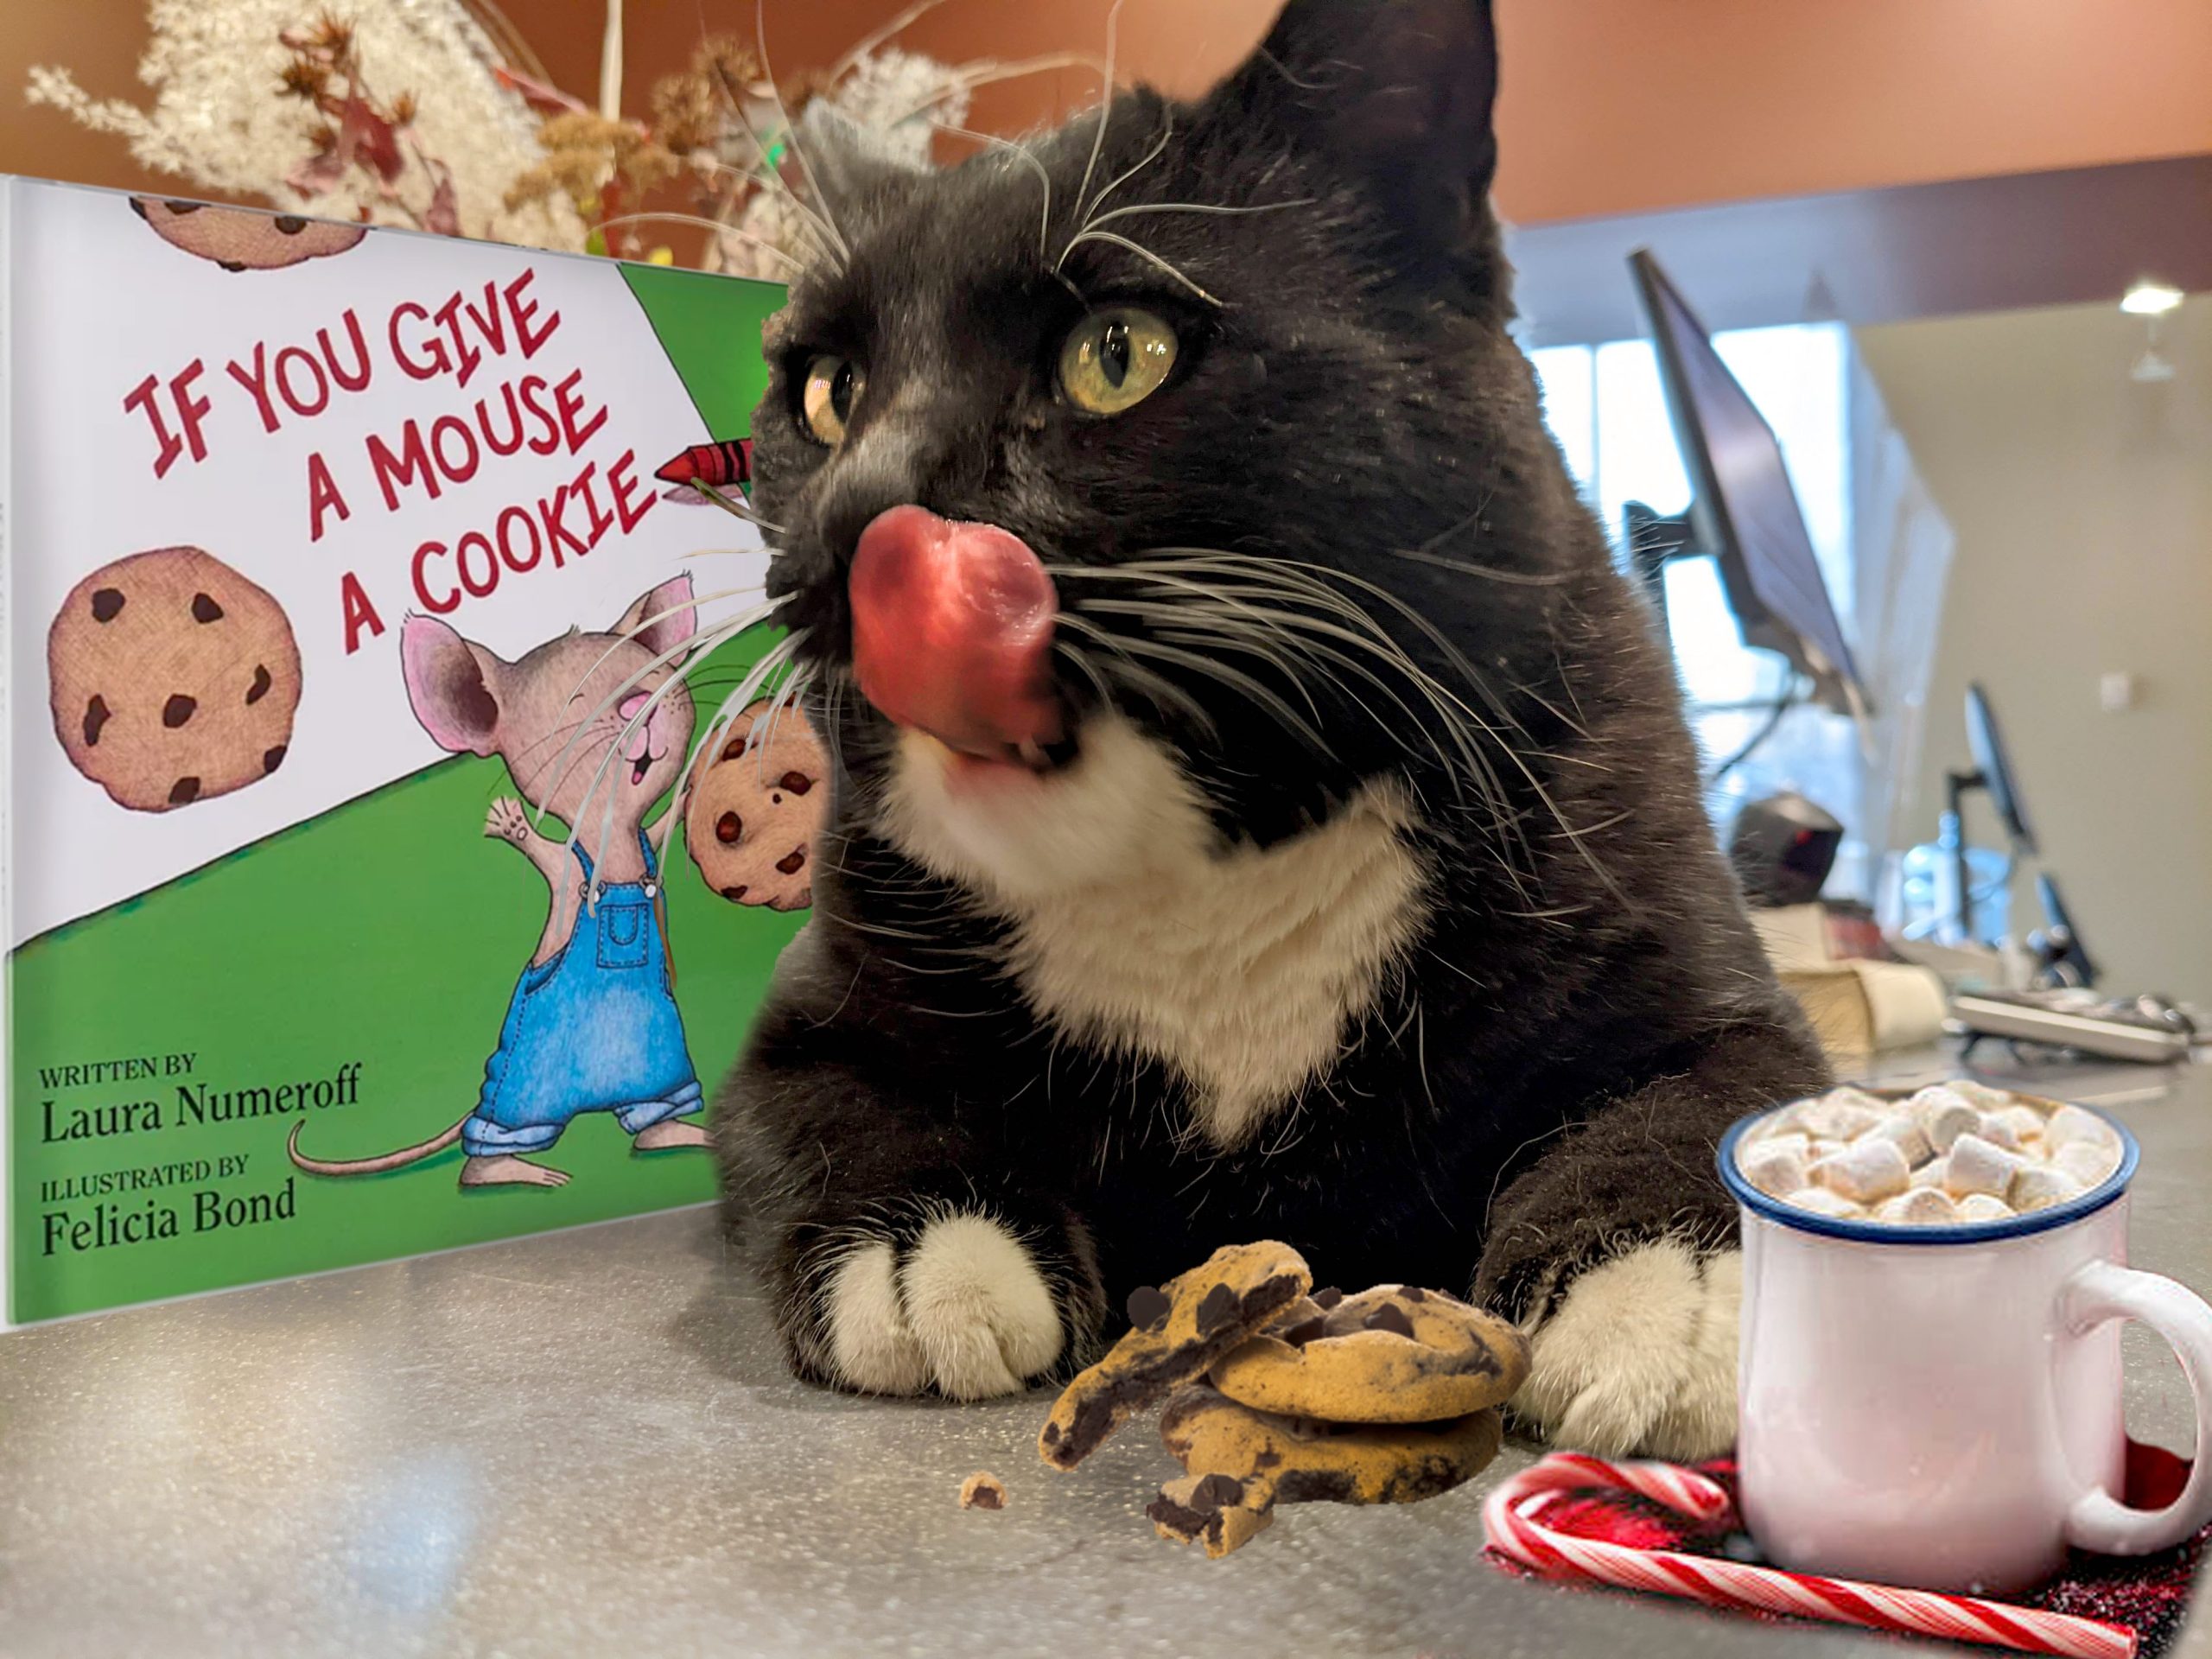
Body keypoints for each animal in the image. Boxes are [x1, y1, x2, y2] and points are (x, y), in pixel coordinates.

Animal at [712, 0, 1831, 1451]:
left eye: (1116, 353)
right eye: (829, 392)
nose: (859, 514)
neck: (1196, 883)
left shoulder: (1697, 956)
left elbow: (1703, 1102)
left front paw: (1665, 1297)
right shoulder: (807, 1017)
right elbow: (836, 1110)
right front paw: (926, 1260)